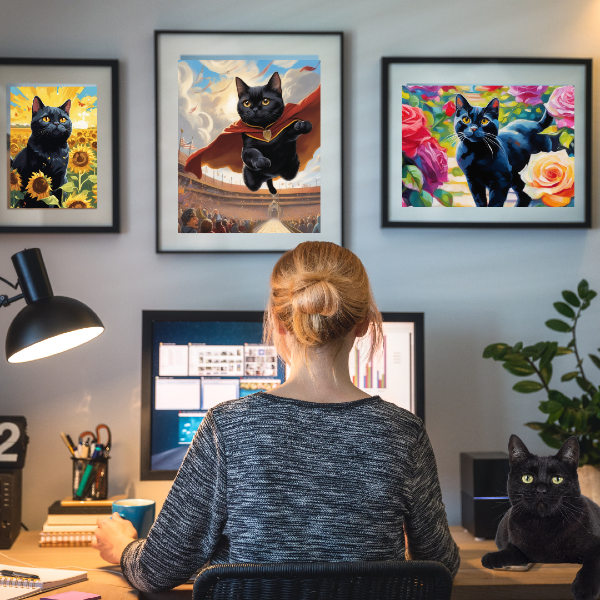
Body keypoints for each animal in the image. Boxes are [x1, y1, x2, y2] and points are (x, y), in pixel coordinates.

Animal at [480, 436, 600, 600]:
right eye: (527, 478)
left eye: (557, 479)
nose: (541, 490)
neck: (544, 525)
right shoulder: (522, 550)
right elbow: (511, 551)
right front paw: (492, 557)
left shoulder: (596, 544)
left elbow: (592, 563)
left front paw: (584, 588)